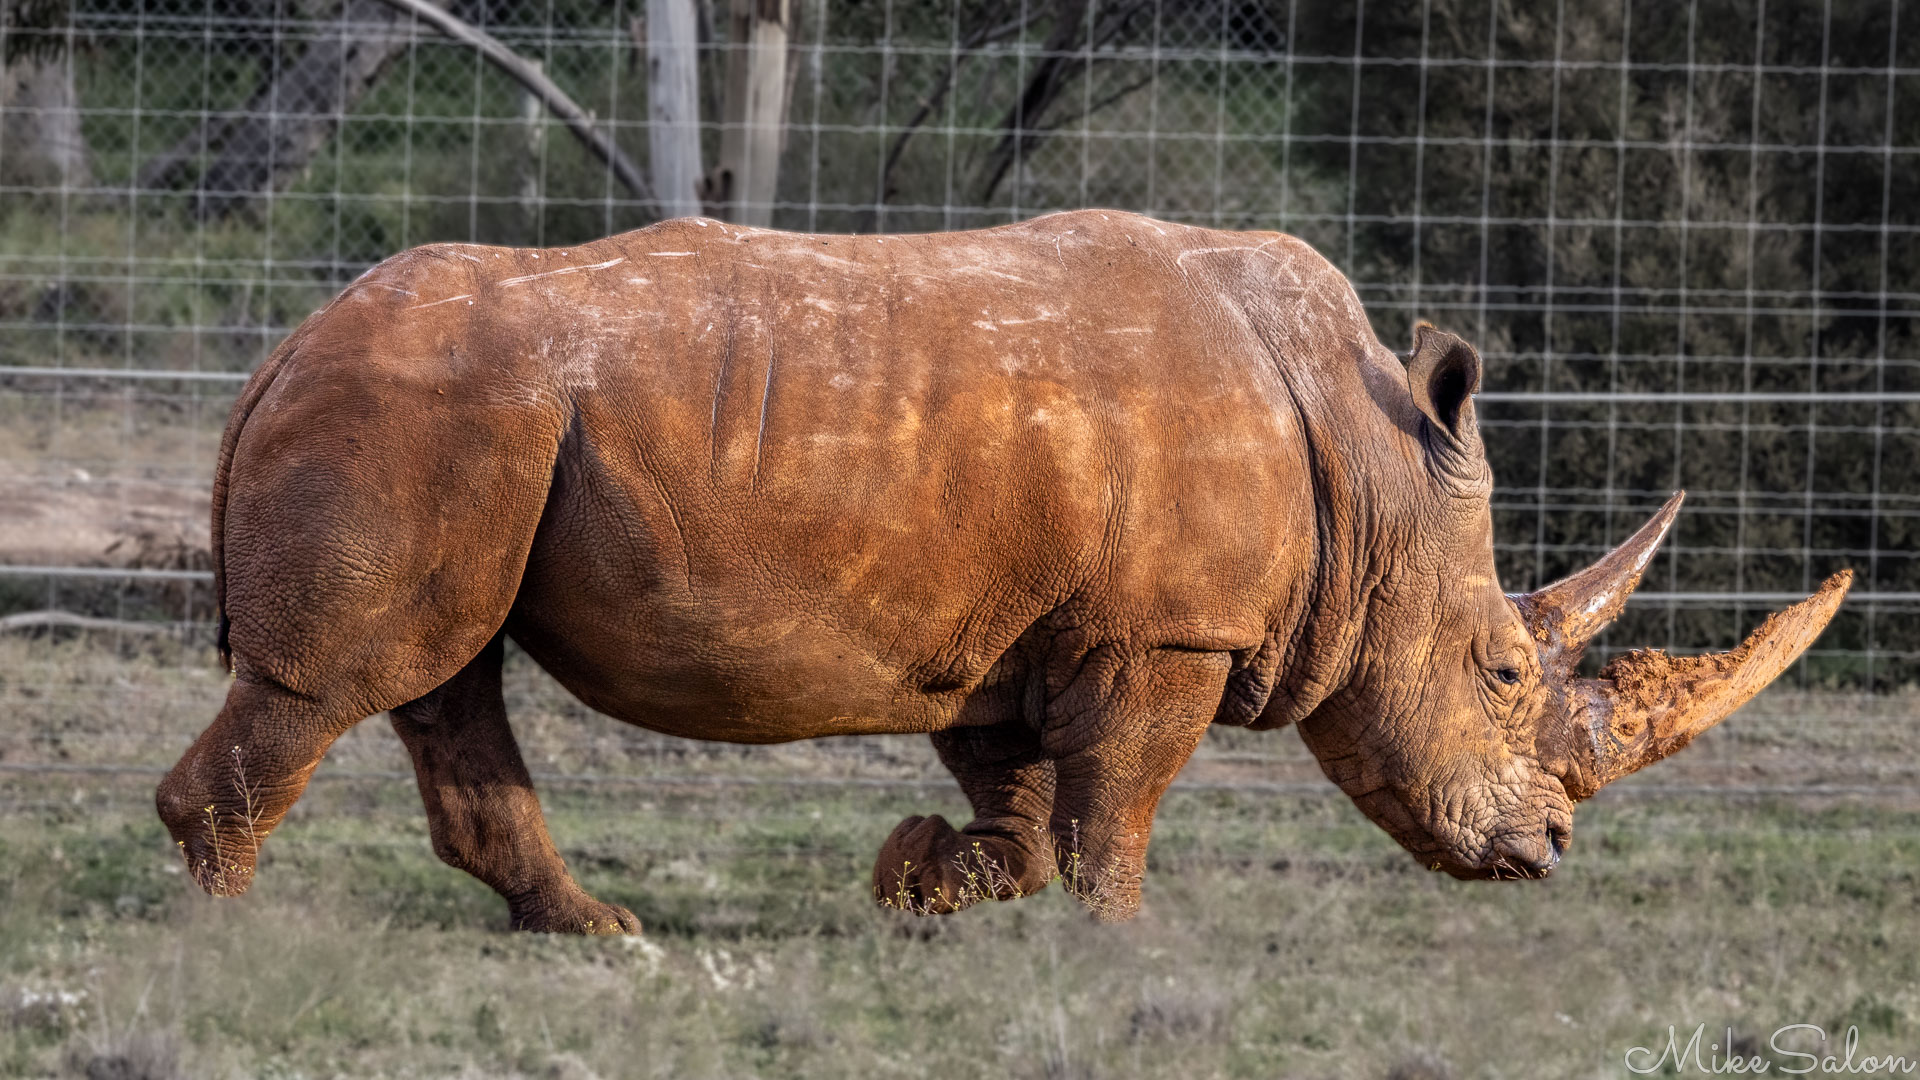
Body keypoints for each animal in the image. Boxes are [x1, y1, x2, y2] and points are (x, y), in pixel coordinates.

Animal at [157, 210, 1849, 932]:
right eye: (1501, 670)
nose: (1544, 857)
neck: (1374, 478)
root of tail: (280, 346)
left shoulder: (1022, 631)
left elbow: (1026, 798)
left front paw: (923, 877)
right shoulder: (1168, 633)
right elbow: (1118, 797)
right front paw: (1119, 939)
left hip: (461, 420)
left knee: (447, 672)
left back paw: (595, 933)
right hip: (421, 410)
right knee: (345, 676)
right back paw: (233, 930)